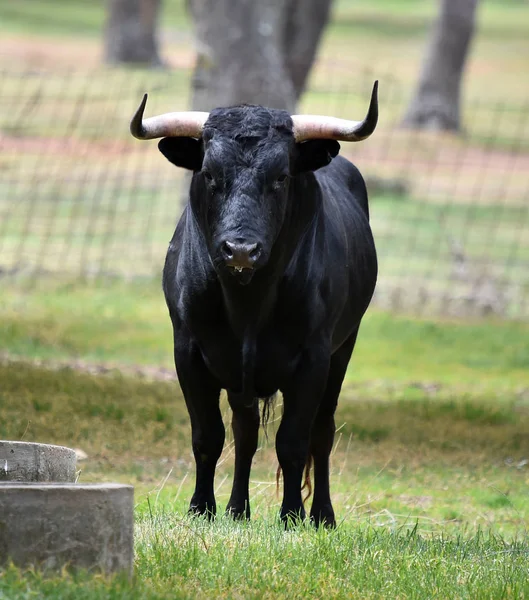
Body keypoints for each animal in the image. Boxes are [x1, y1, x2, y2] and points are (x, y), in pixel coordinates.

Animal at [132, 83, 380, 524]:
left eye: (280, 177)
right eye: (209, 174)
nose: (241, 250)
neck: (248, 303)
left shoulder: (314, 358)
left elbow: (294, 441)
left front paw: (292, 515)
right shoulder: (189, 352)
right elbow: (208, 436)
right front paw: (202, 508)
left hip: (343, 350)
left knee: (322, 432)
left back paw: (323, 514)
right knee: (245, 433)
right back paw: (237, 509)